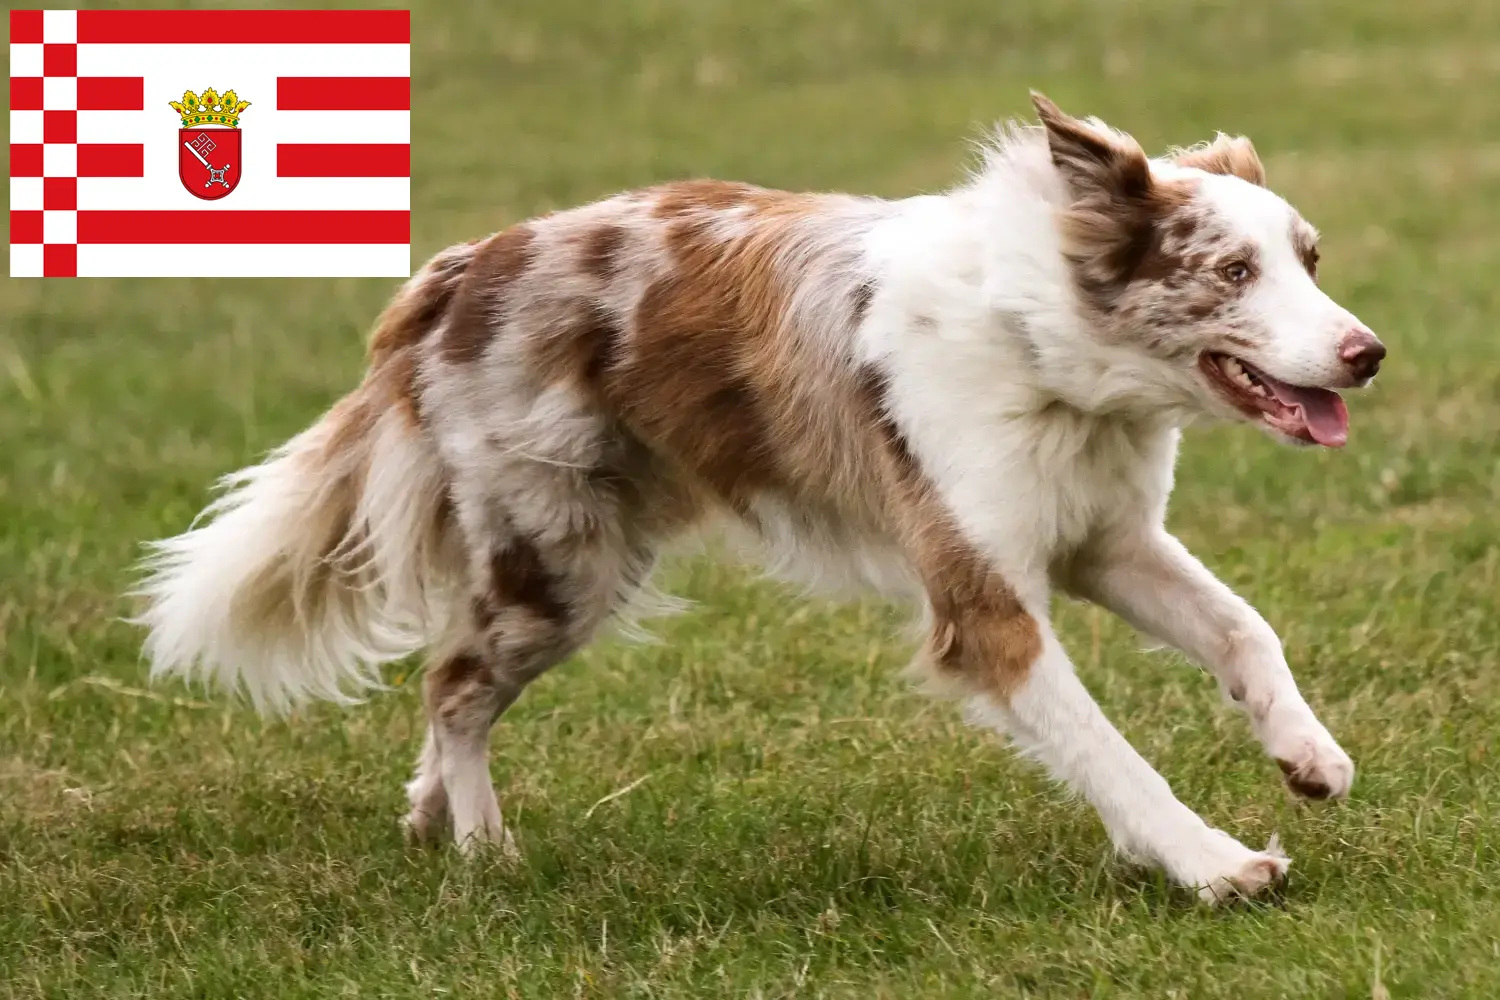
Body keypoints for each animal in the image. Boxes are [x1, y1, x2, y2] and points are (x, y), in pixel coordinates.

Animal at [135, 93, 1386, 905]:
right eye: (1234, 271)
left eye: (1312, 260)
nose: (1368, 353)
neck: (1055, 356)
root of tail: (459, 270)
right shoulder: (985, 603)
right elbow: (1107, 745)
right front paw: (1212, 862)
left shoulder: (1107, 540)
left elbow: (1245, 627)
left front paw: (1309, 753)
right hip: (561, 562)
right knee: (453, 685)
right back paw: (486, 850)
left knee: (453, 685)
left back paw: (430, 814)